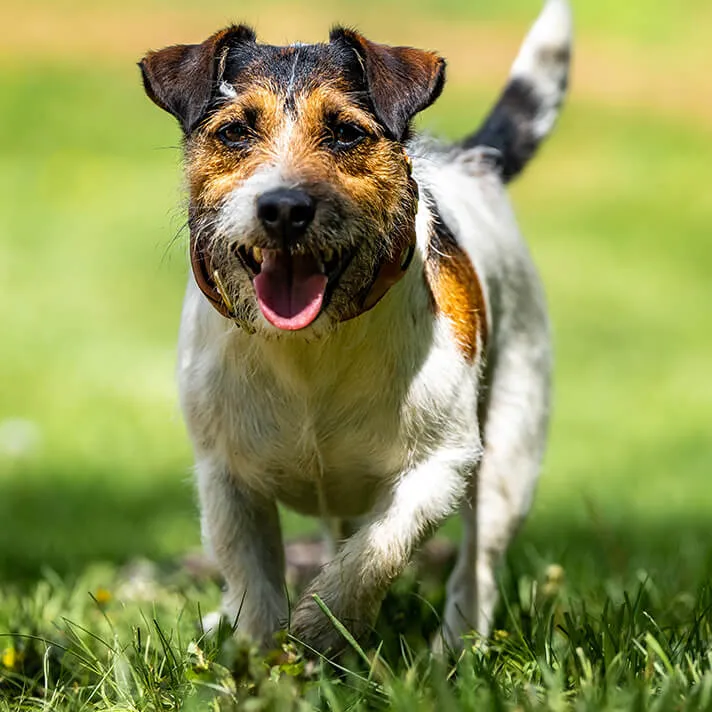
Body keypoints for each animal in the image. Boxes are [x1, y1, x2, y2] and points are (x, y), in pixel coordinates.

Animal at [139, 0, 572, 652]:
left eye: (345, 132)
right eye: (235, 132)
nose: (284, 207)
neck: (310, 347)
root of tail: (474, 162)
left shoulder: (440, 465)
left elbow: (377, 550)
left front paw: (321, 625)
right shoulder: (227, 481)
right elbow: (253, 585)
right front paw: (263, 656)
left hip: (510, 458)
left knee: (476, 567)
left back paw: (454, 651)